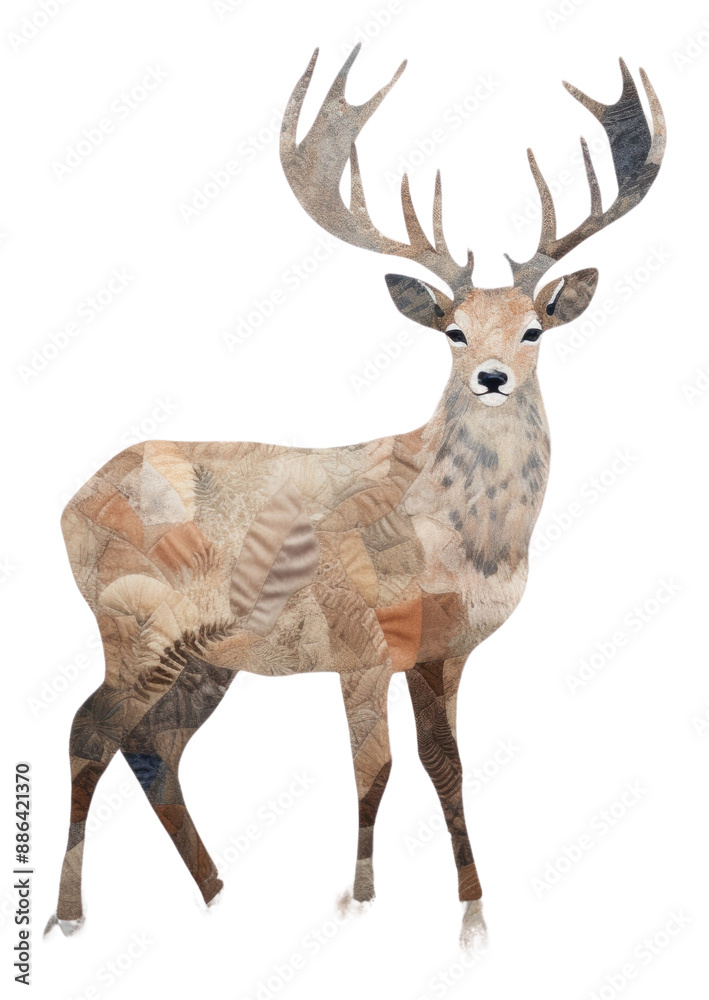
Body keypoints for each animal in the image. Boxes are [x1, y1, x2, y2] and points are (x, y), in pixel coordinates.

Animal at [46, 46, 665, 948]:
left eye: (532, 329)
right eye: (452, 331)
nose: (491, 377)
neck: (461, 541)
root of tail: (66, 499)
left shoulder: (443, 651)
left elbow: (446, 766)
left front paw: (472, 911)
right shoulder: (358, 635)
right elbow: (374, 768)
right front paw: (362, 899)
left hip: (204, 654)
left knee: (156, 747)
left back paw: (216, 891)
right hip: (131, 619)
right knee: (90, 731)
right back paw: (68, 914)